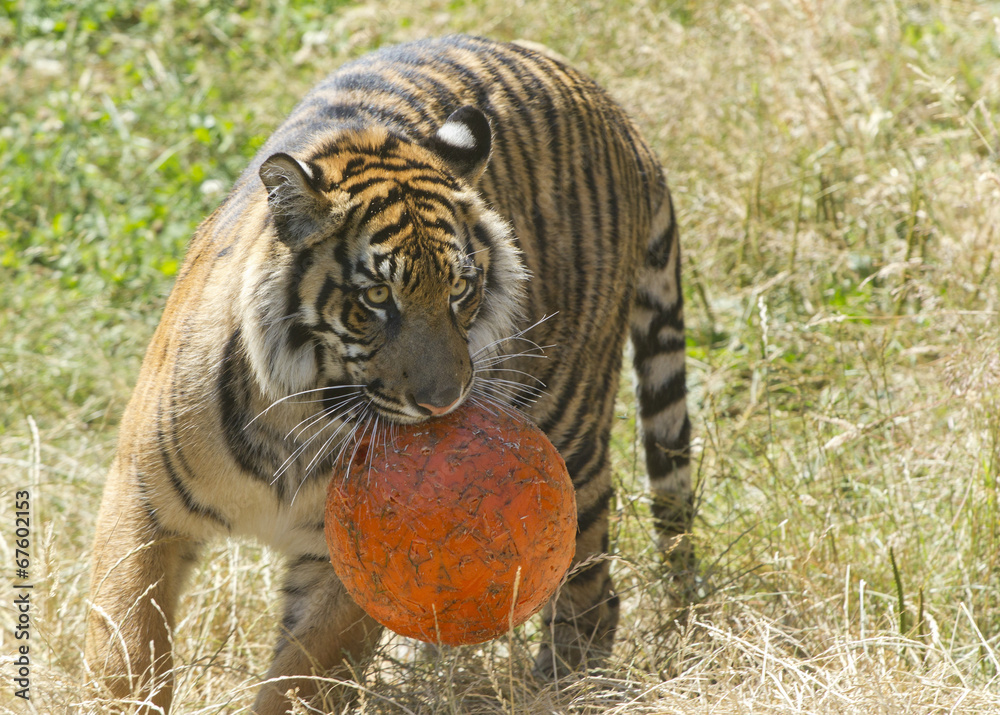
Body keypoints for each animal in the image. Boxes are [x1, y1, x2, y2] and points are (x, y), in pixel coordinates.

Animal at [86, 34, 692, 714]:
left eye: (460, 290)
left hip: (568, 426)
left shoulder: (348, 558)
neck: (298, 421)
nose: (444, 402)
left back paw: (565, 684)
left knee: (594, 588)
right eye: (377, 297)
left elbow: (302, 679)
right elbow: (124, 650)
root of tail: (615, 112)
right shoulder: (141, 504)